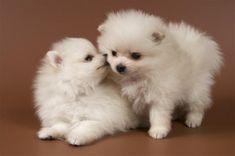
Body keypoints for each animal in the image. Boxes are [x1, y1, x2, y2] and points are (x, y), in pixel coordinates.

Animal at [97, 9, 222, 139]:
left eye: (136, 55)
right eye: (113, 53)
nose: (120, 67)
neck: (139, 75)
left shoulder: (160, 94)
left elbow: (158, 114)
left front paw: (158, 130)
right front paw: (136, 122)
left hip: (196, 88)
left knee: (198, 105)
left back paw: (194, 120)